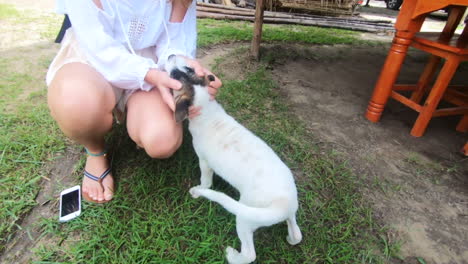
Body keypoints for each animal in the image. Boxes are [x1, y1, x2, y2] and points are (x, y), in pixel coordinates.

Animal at [166, 55, 302, 264]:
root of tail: (283, 204)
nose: (170, 55)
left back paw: (232, 255)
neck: (207, 109)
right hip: (288, 213)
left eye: (174, 75)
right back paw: (290, 236)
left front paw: (199, 190)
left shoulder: (204, 162)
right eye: (189, 69)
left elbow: (205, 182)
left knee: (249, 254)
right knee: (296, 233)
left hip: (245, 217)